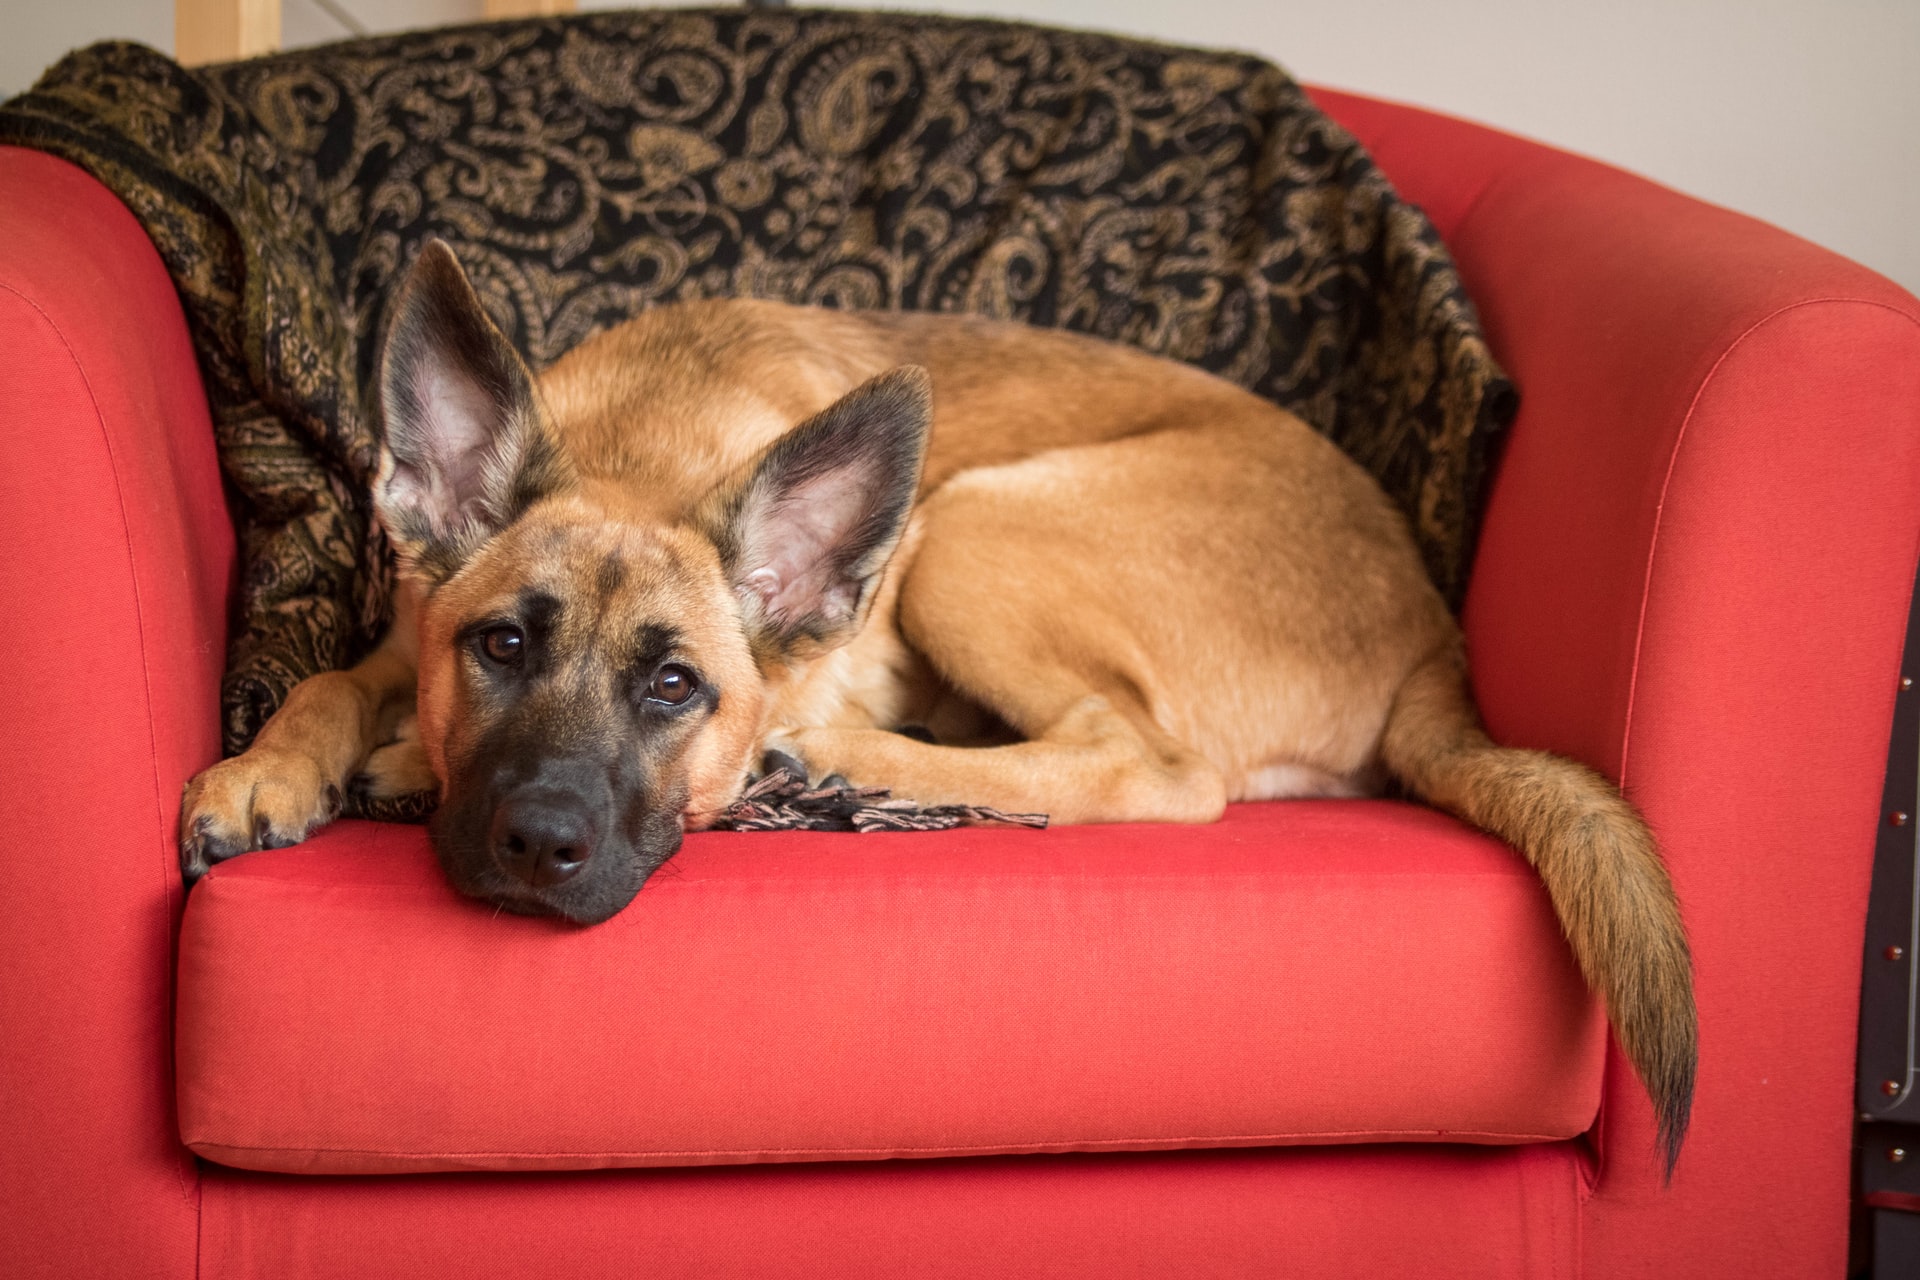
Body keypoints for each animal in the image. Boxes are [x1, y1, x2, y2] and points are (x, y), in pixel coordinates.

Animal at [180, 237, 1697, 1174]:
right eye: (499, 645)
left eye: (676, 687)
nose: (538, 844)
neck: (647, 448)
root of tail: (1437, 631)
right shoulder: (411, 629)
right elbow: (332, 675)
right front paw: (274, 766)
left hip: (971, 526)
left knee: (1151, 768)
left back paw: (839, 757)